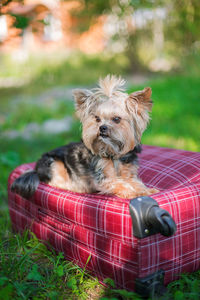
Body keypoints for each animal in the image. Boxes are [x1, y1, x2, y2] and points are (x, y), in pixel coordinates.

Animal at [11, 75, 158, 199]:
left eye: (116, 119)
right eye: (97, 119)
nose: (102, 127)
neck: (113, 153)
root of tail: (35, 169)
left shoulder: (128, 172)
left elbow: (134, 182)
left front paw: (146, 190)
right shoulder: (104, 179)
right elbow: (120, 183)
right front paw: (134, 192)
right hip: (54, 164)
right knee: (56, 181)